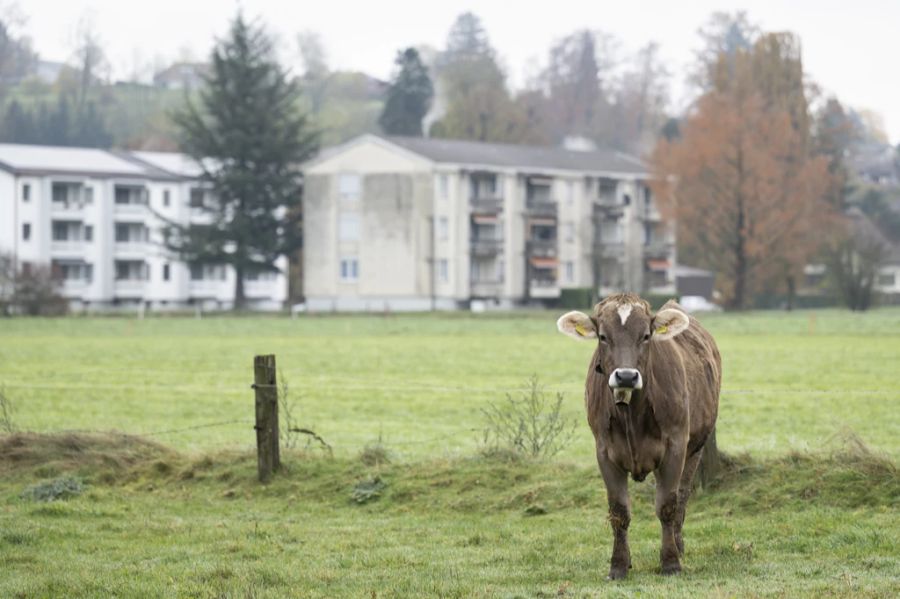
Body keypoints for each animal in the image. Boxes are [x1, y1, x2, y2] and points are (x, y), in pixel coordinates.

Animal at [560, 292, 720, 580]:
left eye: (646, 335)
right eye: (603, 336)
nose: (625, 376)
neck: (631, 414)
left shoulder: (675, 447)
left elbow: (667, 506)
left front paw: (670, 562)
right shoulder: (604, 452)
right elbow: (619, 511)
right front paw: (619, 565)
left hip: (696, 449)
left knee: (682, 496)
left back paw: (678, 545)